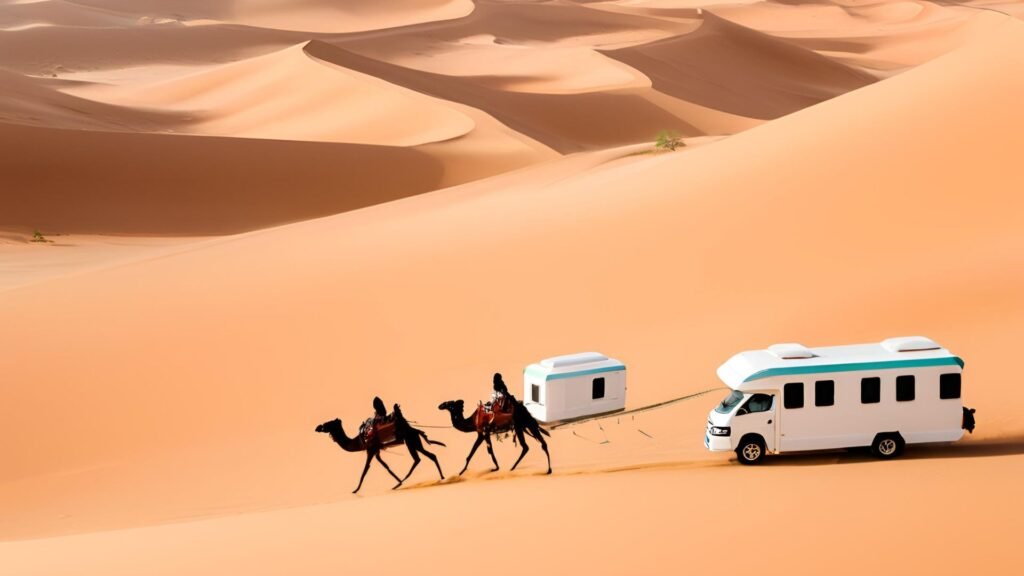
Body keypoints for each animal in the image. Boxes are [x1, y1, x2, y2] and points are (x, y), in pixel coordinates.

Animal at [313, 401, 446, 491]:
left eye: (328, 424)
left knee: (417, 459)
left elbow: (365, 470)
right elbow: (385, 466)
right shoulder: (377, 451)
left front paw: (355, 490)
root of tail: (415, 430)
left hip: (410, 441)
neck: (359, 441)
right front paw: (398, 481)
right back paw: (441, 477)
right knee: (430, 456)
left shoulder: (370, 450)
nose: (318, 427)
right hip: (414, 441)